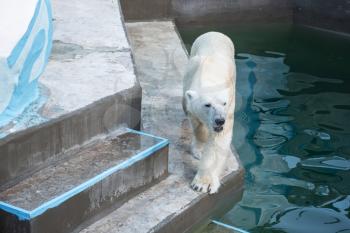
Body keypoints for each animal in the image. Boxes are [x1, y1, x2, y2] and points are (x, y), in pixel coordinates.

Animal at [182, 31, 237, 194]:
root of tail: (215, 33)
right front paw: (198, 151)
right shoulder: (190, 93)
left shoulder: (229, 105)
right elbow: (197, 125)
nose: (219, 120)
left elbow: (218, 141)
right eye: (207, 105)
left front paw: (202, 184)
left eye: (223, 103)